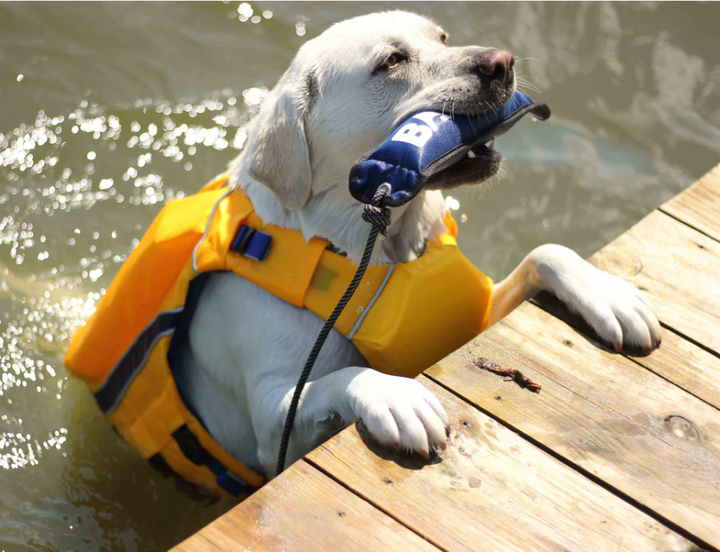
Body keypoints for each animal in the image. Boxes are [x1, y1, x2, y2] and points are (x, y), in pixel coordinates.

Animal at [172, 11, 660, 478]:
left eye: (442, 38)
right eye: (391, 61)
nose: (503, 62)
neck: (371, 245)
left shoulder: (473, 319)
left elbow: (546, 252)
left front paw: (609, 296)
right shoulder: (273, 425)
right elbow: (342, 377)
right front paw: (395, 397)